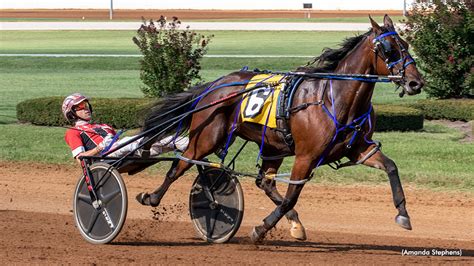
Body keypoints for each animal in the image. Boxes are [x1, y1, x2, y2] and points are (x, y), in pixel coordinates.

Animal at [135, 15, 424, 243]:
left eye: (406, 45)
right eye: (389, 49)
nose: (415, 82)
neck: (334, 97)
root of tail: (214, 85)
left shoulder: (359, 149)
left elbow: (391, 167)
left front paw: (403, 214)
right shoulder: (306, 156)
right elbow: (290, 197)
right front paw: (260, 229)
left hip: (273, 146)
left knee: (264, 181)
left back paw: (295, 223)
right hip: (207, 137)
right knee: (180, 164)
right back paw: (152, 197)